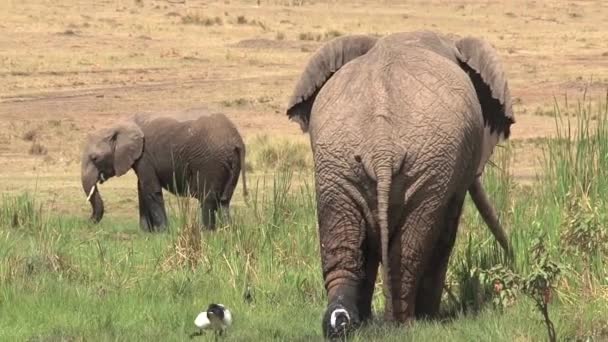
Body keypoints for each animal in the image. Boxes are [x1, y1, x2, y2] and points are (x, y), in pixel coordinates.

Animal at [82, 109, 248, 231]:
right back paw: (227, 231)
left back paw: (207, 232)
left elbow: (151, 190)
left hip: (210, 162)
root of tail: (236, 141)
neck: (119, 126)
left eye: (95, 158)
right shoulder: (141, 159)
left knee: (208, 199)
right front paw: (146, 233)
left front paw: (162, 232)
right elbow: (142, 189)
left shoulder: (145, 155)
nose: (88, 222)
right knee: (224, 200)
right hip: (231, 163)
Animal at [284, 30, 512, 338]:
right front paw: (430, 318)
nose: (514, 257)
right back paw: (405, 325)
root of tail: (381, 143)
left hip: (337, 160)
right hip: (430, 163)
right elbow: (446, 233)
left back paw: (342, 324)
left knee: (344, 239)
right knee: (412, 247)